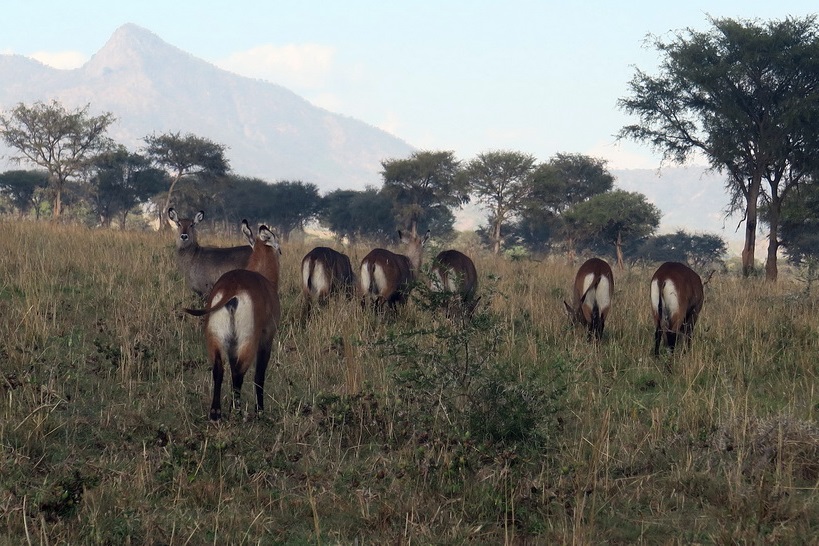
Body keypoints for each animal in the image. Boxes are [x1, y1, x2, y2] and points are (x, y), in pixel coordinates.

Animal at [184, 222, 281, 420]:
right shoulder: (267, 338)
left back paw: (216, 413)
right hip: (247, 341)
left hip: (216, 338)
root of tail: (233, 289)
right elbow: (259, 375)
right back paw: (236, 411)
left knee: (219, 369)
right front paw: (260, 411)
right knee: (238, 373)